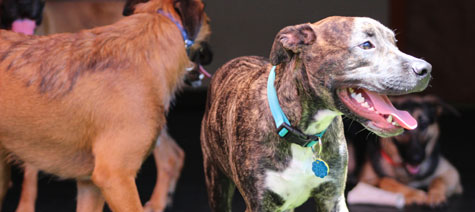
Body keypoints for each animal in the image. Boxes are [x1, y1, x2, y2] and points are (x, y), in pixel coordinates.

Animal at [203, 15, 434, 211]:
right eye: (366, 45)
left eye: (395, 42)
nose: (426, 69)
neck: (303, 133)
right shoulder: (261, 204)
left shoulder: (332, 197)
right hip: (216, 181)